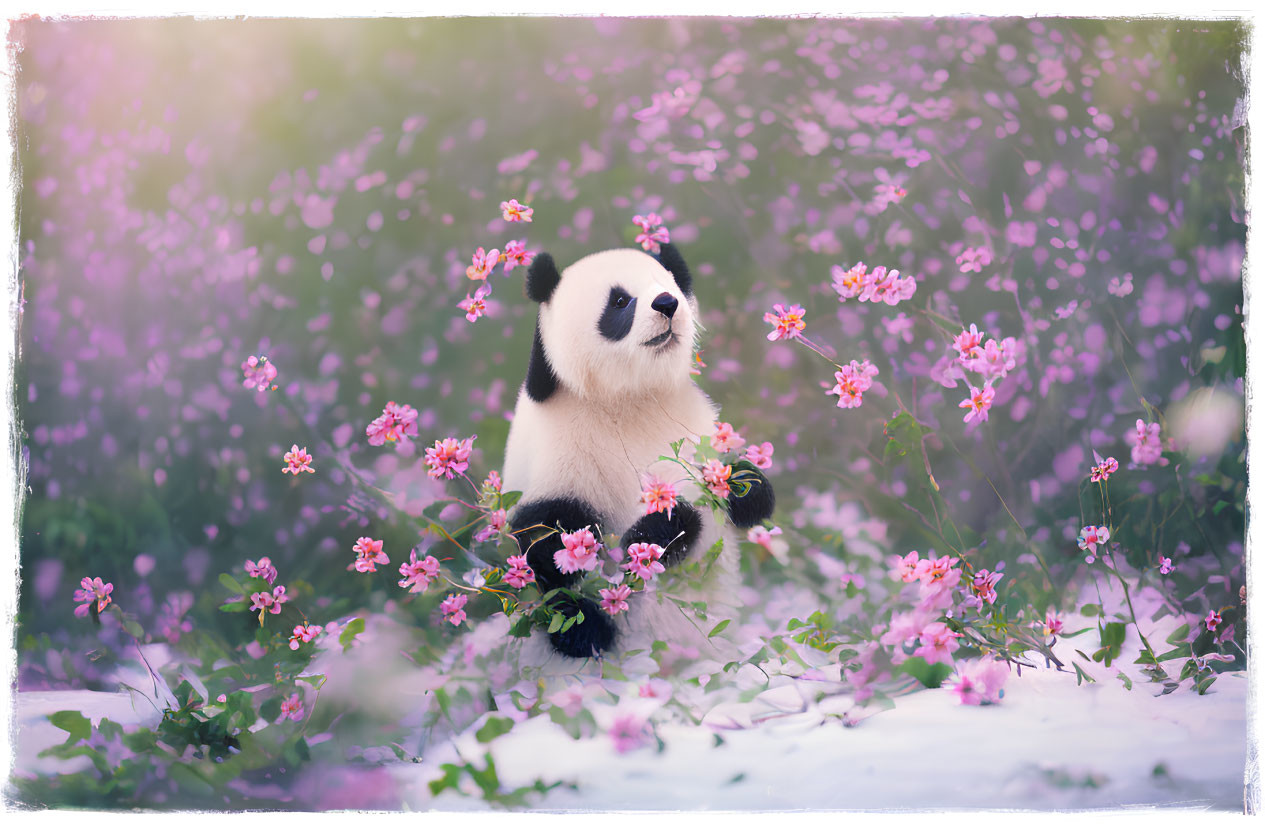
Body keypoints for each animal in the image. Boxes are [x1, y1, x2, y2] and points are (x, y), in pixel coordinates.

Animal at [500, 241, 774, 663]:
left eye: (668, 285)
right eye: (620, 300)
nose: (667, 303)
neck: (629, 395)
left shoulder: (691, 427)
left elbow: (744, 493)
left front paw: (741, 489)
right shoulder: (560, 445)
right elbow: (547, 541)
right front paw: (668, 525)